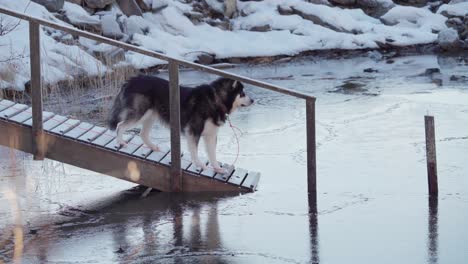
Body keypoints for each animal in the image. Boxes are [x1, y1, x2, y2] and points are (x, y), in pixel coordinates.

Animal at [108, 75, 254, 173]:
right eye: (242, 93)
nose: (252, 100)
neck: (216, 99)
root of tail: (131, 80)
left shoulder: (211, 135)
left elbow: (212, 154)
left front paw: (217, 168)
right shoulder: (194, 131)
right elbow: (195, 151)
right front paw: (200, 164)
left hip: (150, 116)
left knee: (143, 134)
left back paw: (153, 146)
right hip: (139, 114)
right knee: (120, 126)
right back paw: (121, 142)